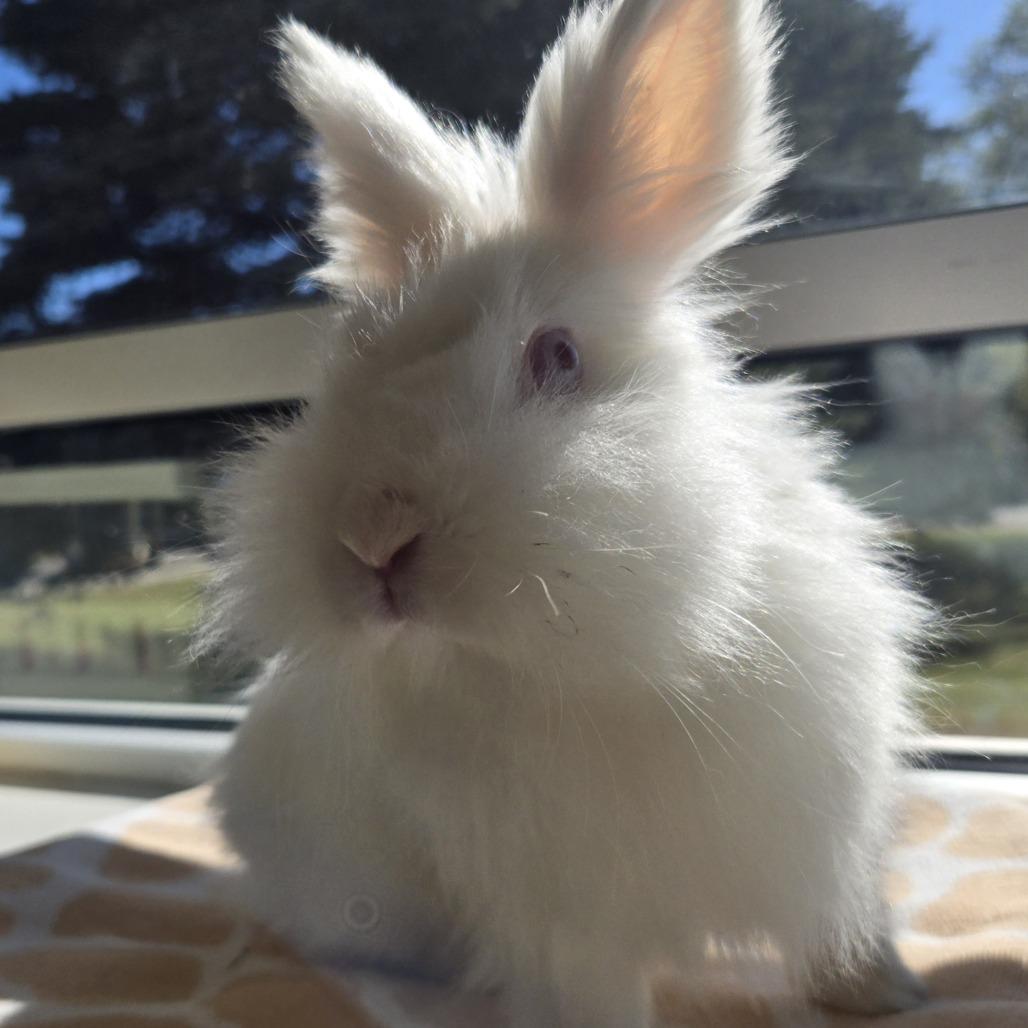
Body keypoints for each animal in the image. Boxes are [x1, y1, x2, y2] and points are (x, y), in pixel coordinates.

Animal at [204, 1, 933, 1025]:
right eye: (343, 374)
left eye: (557, 356)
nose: (372, 539)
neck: (614, 663)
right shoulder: (564, 917)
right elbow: (593, 990)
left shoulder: (829, 837)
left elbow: (847, 929)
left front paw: (890, 994)